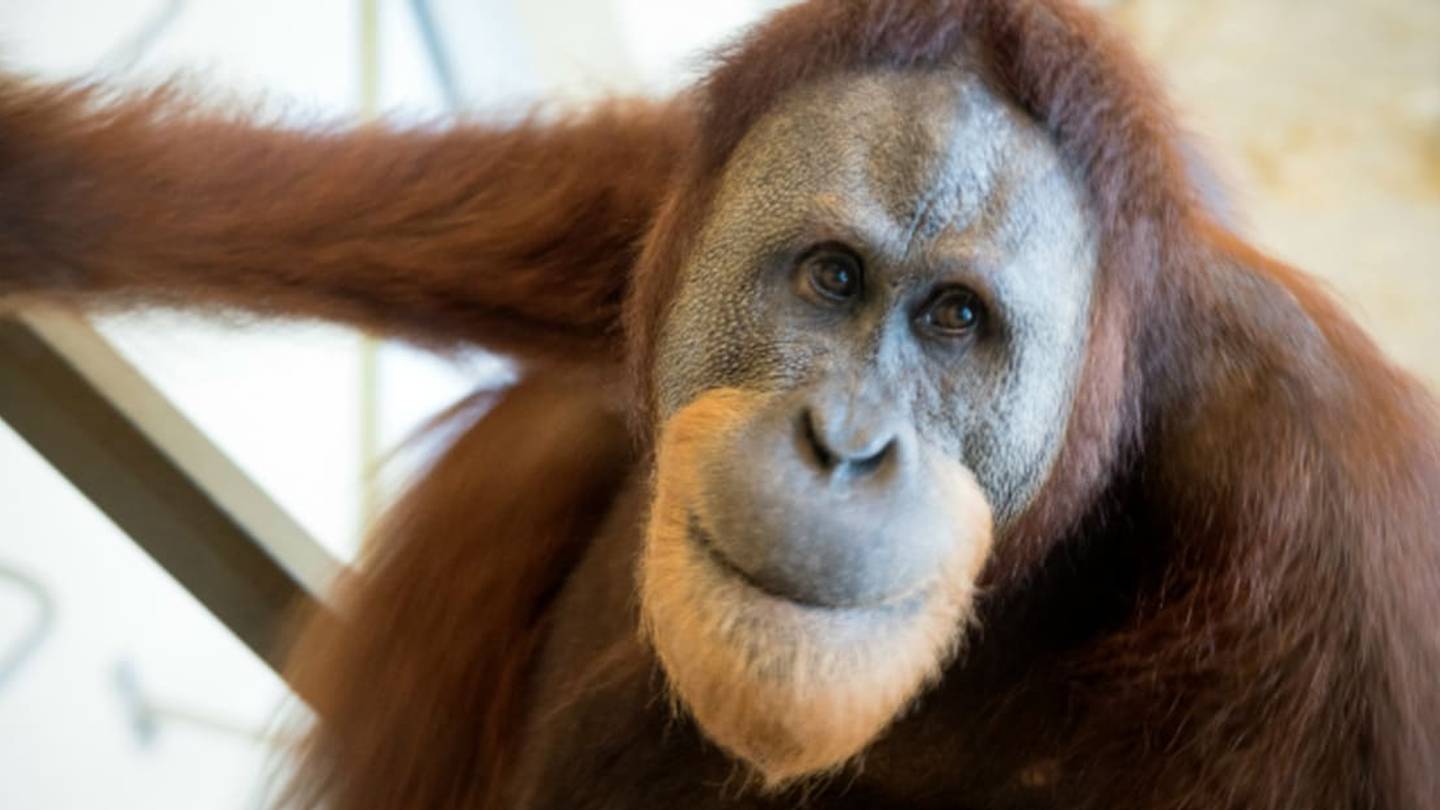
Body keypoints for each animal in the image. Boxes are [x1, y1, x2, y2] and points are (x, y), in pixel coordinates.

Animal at [1, 1, 1437, 808]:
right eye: (834, 277)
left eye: (954, 319)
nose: (844, 444)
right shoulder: (661, 194)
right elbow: (347, 209)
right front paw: (37, 179)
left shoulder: (1339, 539)